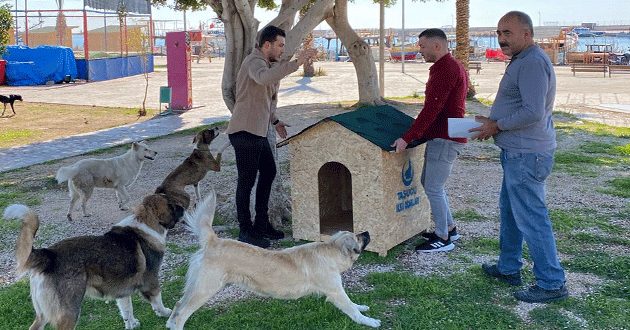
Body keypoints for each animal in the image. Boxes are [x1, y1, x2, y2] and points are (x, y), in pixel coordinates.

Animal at [2, 188, 189, 330]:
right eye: (171, 206)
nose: (184, 208)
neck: (146, 224)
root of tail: (49, 254)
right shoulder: (151, 282)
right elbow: (158, 302)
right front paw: (166, 313)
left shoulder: (121, 290)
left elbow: (127, 310)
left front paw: (132, 324)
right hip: (70, 312)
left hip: (42, 315)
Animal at [165, 192, 382, 328]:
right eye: (358, 237)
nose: (368, 232)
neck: (330, 251)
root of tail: (213, 241)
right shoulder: (335, 292)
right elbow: (352, 309)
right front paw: (369, 321)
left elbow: (353, 304)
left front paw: (362, 307)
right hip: (205, 289)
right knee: (182, 314)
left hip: (196, 286)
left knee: (177, 305)